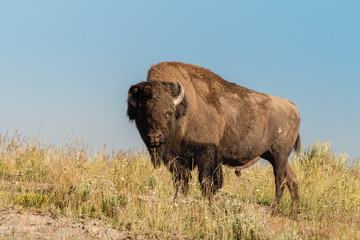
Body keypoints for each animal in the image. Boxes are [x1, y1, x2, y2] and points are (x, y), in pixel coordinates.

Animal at [127, 62, 300, 212]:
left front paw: (208, 203)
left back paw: (274, 209)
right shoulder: (175, 159)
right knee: (292, 179)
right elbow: (181, 180)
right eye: (141, 113)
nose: (154, 136)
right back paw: (295, 212)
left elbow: (206, 180)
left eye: (168, 112)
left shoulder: (206, 152)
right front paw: (179, 200)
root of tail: (293, 107)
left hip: (279, 155)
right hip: (272, 156)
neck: (186, 110)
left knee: (280, 180)